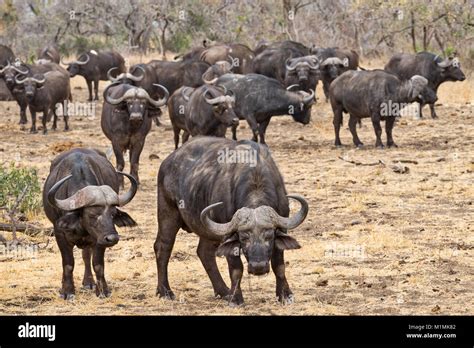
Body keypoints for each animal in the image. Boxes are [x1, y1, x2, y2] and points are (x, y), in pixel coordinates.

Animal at [43, 148, 137, 298]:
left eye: (113, 214)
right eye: (93, 215)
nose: (112, 238)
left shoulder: (98, 239)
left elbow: (98, 264)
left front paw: (103, 290)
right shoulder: (60, 234)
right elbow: (68, 264)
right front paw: (67, 291)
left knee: (86, 256)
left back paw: (89, 282)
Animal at [155, 136, 308, 304]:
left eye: (269, 236)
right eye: (243, 238)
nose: (258, 267)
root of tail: (167, 162)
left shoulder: (282, 226)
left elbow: (279, 265)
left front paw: (285, 295)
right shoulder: (227, 234)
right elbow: (236, 269)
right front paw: (236, 298)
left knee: (204, 253)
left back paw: (223, 291)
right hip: (168, 213)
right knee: (163, 248)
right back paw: (165, 291)